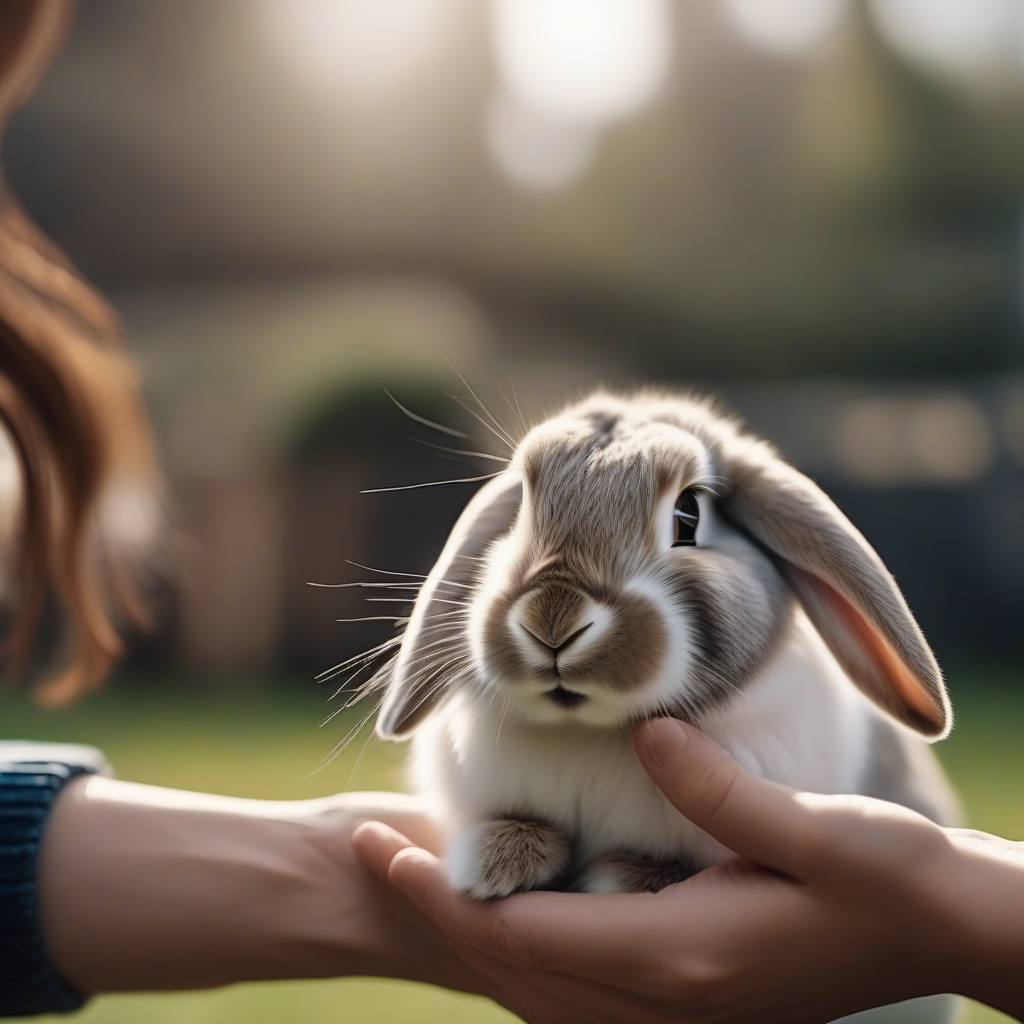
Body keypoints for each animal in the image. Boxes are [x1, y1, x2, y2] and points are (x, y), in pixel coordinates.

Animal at [371, 390, 962, 1022]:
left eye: (688, 516)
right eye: (520, 511)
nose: (552, 618)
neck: (591, 732)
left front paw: (628, 878)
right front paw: (497, 864)